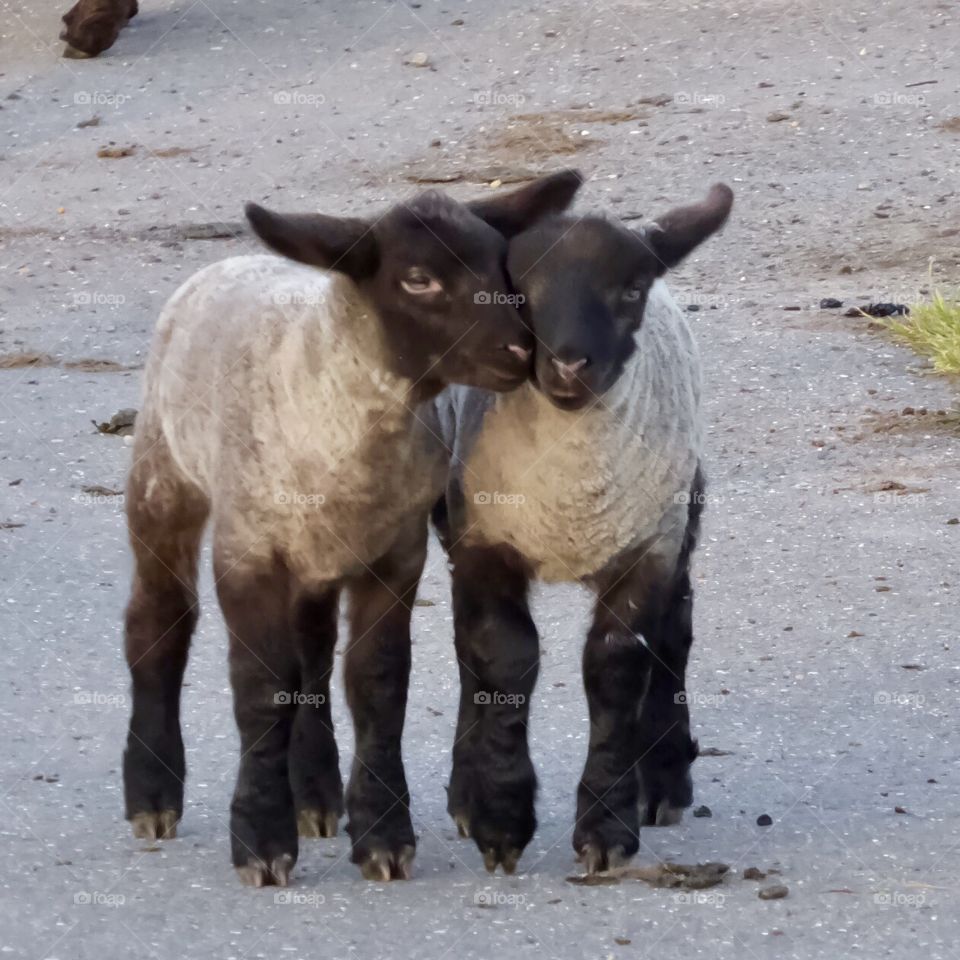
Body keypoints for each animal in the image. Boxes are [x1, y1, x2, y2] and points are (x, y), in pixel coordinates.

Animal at [121, 172, 583, 886]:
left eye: (501, 266)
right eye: (418, 280)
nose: (521, 351)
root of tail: (230, 264)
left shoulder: (395, 552)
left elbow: (376, 680)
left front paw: (383, 837)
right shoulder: (249, 550)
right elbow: (261, 687)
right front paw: (260, 843)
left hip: (334, 550)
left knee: (313, 655)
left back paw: (316, 795)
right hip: (163, 475)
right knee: (158, 620)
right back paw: (152, 795)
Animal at [432, 183, 734, 875]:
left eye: (633, 288)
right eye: (516, 289)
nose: (569, 366)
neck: (574, 496)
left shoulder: (647, 550)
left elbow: (616, 667)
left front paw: (607, 827)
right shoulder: (484, 543)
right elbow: (503, 658)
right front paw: (499, 819)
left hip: (682, 508)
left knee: (675, 632)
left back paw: (666, 781)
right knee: (469, 653)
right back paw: (464, 793)